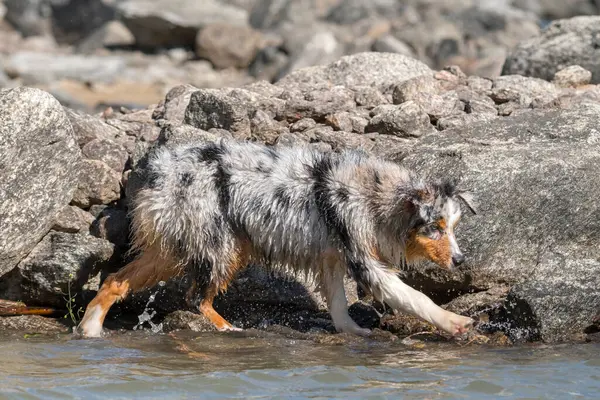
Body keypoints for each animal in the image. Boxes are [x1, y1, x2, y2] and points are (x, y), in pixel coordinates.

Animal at [78, 139, 474, 340]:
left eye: (454, 225)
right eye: (435, 226)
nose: (460, 260)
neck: (377, 196)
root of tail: (154, 169)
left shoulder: (331, 256)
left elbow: (338, 303)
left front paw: (353, 331)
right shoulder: (363, 260)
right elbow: (414, 297)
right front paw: (454, 322)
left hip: (172, 248)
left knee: (115, 280)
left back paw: (90, 329)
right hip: (221, 245)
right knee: (195, 297)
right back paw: (230, 329)